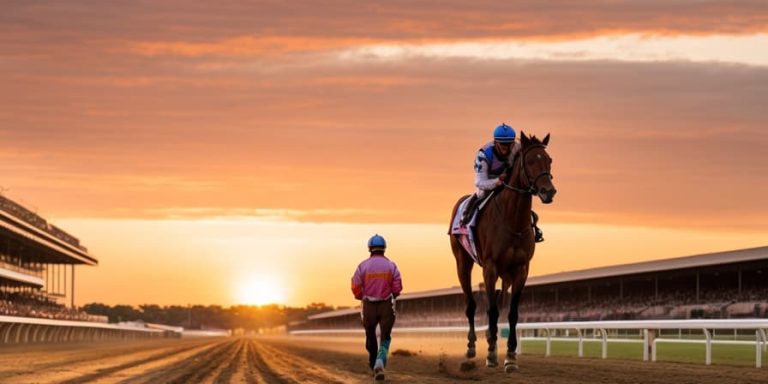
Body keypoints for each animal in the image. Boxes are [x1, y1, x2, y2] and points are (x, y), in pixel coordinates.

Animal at [448, 131, 556, 372]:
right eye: (530, 161)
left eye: (549, 160)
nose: (549, 191)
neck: (512, 220)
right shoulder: (490, 267)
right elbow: (492, 310)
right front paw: (490, 354)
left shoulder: (521, 268)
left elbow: (511, 312)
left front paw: (510, 356)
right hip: (463, 263)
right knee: (472, 305)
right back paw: (472, 347)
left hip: (505, 274)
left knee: (498, 301)